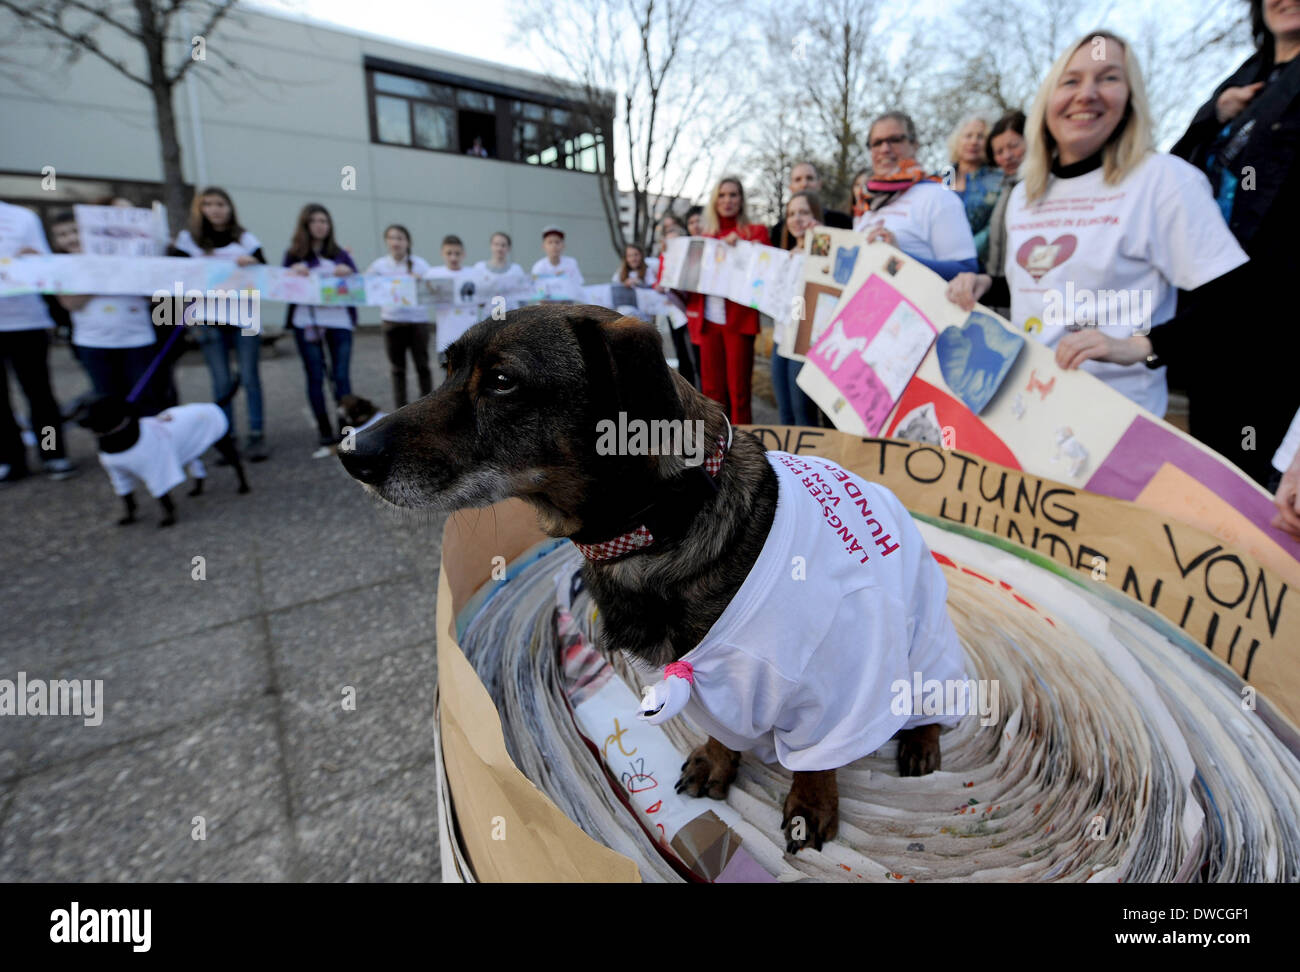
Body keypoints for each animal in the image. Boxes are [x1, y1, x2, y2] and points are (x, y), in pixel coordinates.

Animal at [340, 304, 961, 852]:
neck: (662, 526)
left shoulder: (837, 692)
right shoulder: (710, 686)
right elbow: (722, 731)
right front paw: (717, 761)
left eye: (501, 381)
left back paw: (920, 744)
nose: (351, 452)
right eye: (446, 368)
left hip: (927, 654)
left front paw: (811, 805)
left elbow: (817, 762)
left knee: (930, 707)